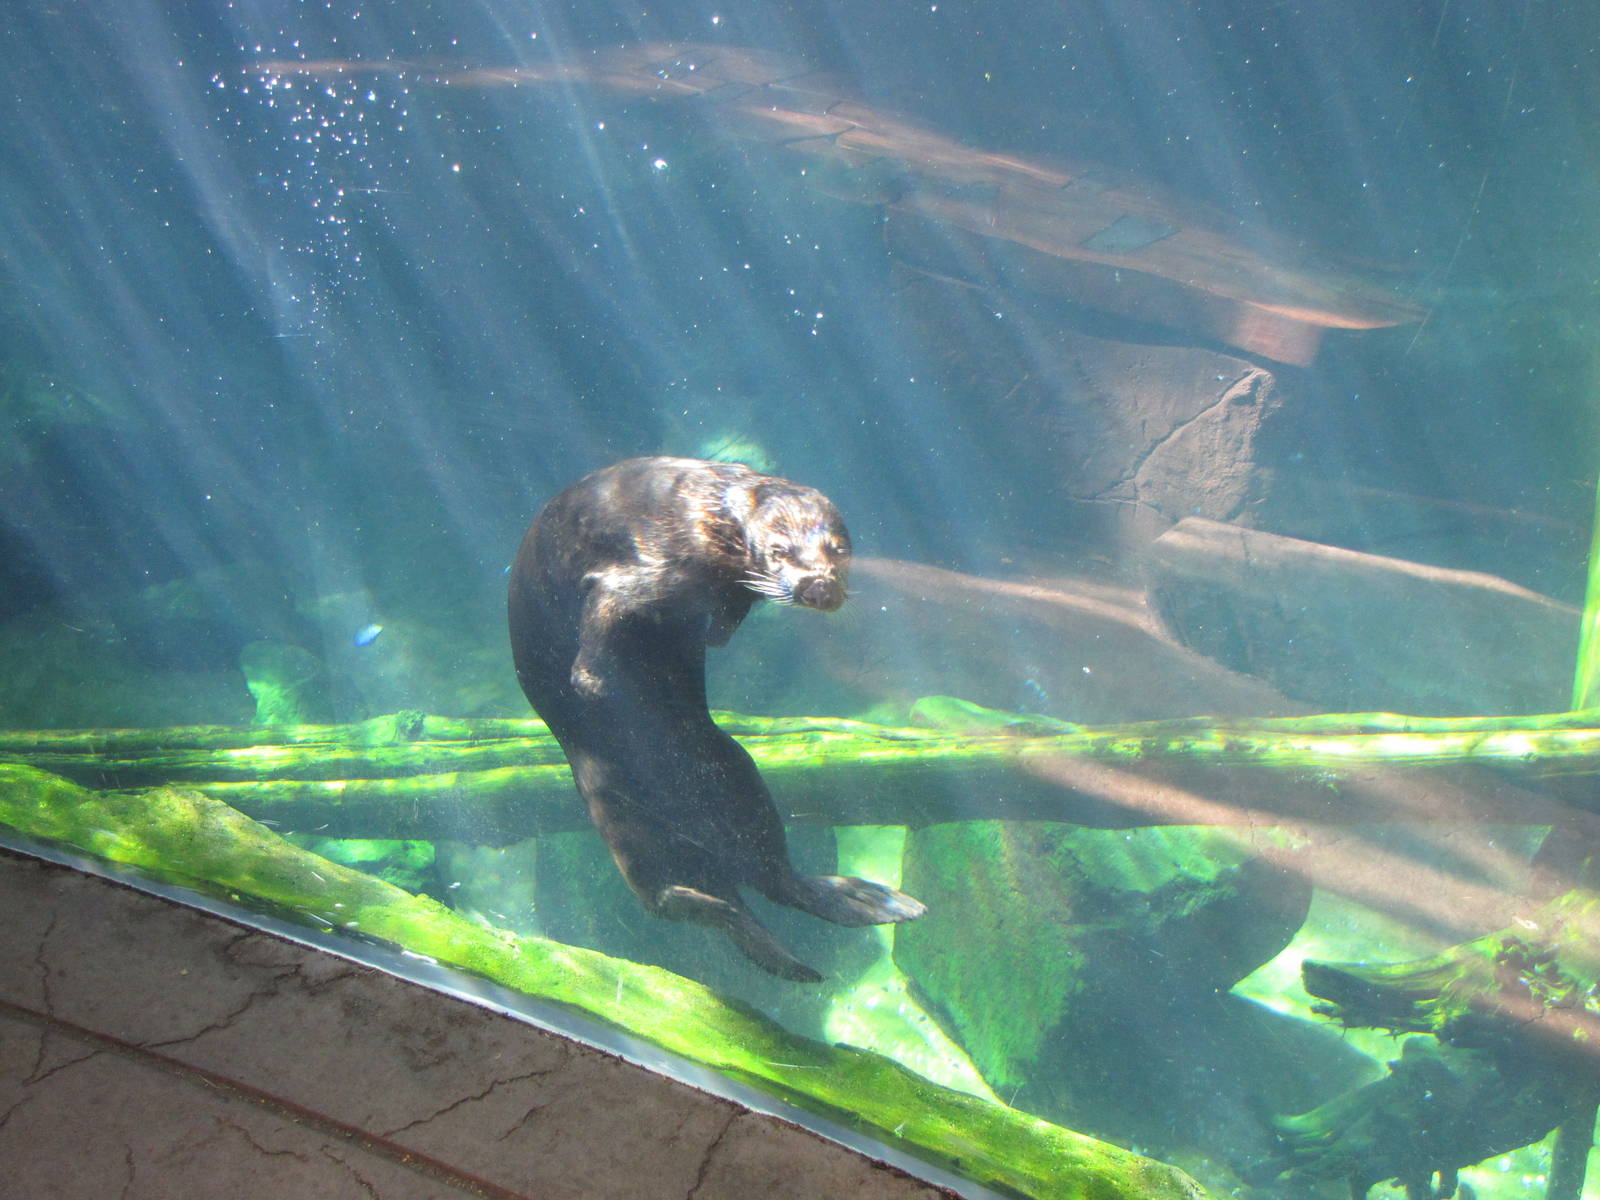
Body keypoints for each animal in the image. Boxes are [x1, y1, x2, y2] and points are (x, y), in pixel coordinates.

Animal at [508, 456, 925, 980]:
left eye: (838, 550)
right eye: (778, 552)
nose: (819, 585)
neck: (709, 521)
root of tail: (714, 863)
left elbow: (728, 615)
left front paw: (716, 633)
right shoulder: (637, 570)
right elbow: (603, 619)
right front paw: (595, 684)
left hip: (737, 772)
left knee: (773, 879)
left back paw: (865, 904)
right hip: (614, 807)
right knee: (664, 896)